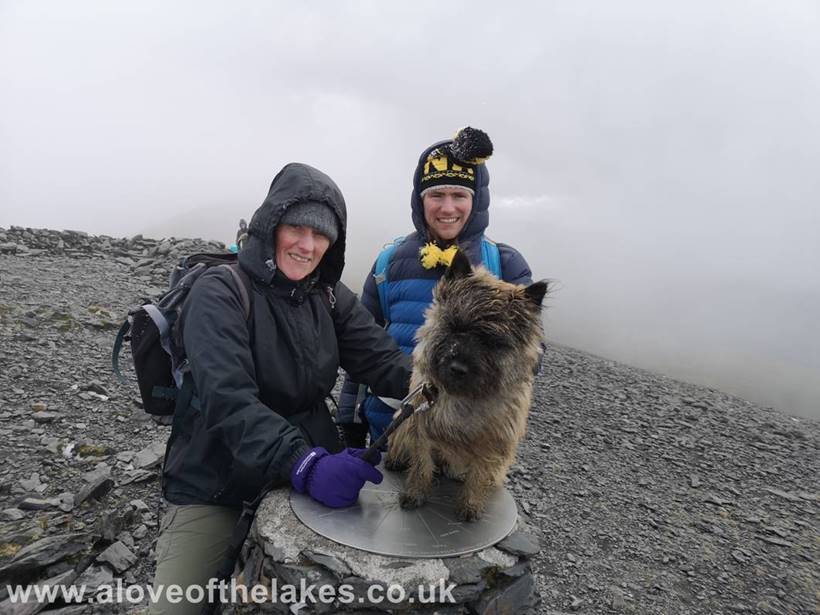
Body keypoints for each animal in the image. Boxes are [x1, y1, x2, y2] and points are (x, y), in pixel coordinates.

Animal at [382, 250, 548, 520]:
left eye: (492, 341)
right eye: (454, 326)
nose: (458, 367)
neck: (463, 397)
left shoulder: (493, 445)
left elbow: (479, 475)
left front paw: (470, 504)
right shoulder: (421, 429)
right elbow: (421, 465)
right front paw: (415, 493)